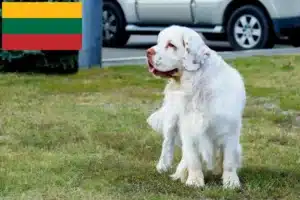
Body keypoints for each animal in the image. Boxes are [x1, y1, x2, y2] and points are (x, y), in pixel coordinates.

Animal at [146, 25, 246, 189]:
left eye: (171, 45)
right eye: (158, 42)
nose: (148, 52)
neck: (197, 84)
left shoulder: (229, 130)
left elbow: (229, 160)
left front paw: (231, 182)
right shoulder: (189, 127)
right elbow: (193, 159)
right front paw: (194, 181)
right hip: (172, 119)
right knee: (167, 143)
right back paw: (164, 167)